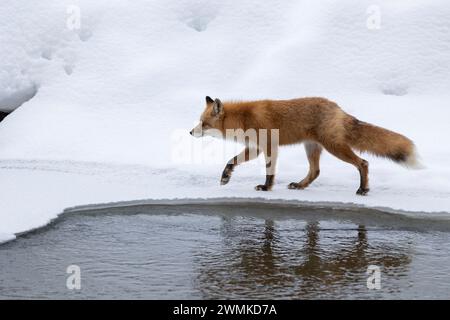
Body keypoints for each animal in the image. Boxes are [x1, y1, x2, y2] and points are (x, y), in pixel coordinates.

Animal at [189, 95, 418, 195]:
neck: (243, 119)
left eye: (203, 123)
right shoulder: (255, 148)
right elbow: (231, 161)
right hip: (312, 148)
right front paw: (225, 177)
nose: (190, 132)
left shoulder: (270, 146)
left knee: (363, 163)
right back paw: (300, 185)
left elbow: (269, 172)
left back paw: (363, 189)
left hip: (334, 147)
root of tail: (338, 108)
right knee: (315, 171)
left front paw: (266, 187)